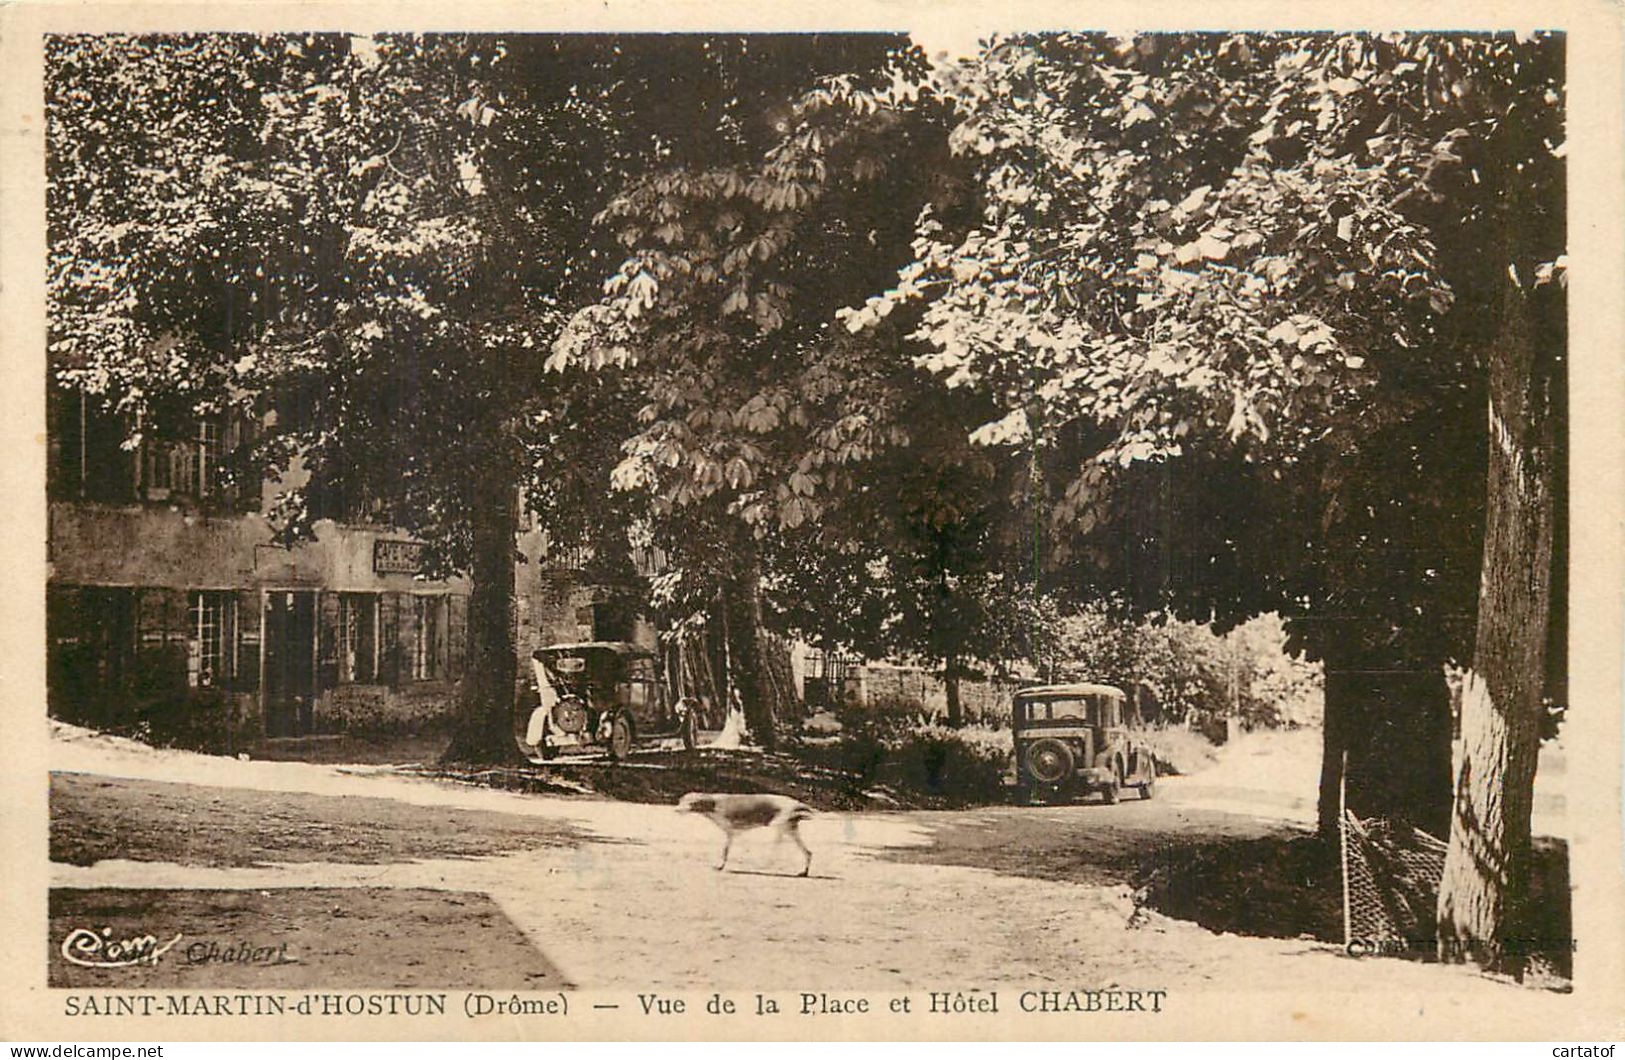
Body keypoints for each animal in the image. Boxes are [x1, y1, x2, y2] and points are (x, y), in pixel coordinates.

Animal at [679, 790, 819, 871]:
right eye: (681, 801)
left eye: (691, 803)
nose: (677, 809)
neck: (713, 804)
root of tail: (796, 803)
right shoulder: (734, 833)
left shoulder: (731, 832)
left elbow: (725, 851)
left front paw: (720, 866)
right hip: (791, 831)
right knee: (808, 852)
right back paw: (804, 872)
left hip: (780, 828)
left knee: (776, 851)